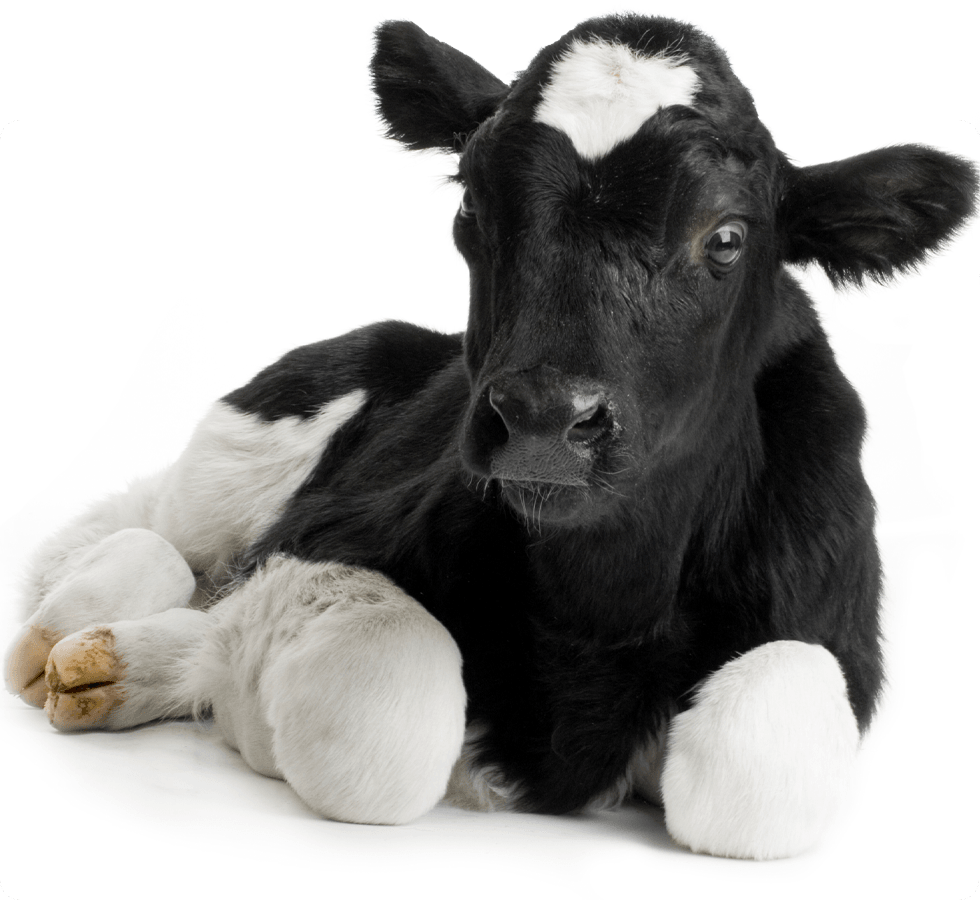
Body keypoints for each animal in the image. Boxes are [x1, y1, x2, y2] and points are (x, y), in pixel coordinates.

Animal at [3, 9, 976, 860]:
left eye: (728, 237)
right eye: (473, 203)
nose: (544, 419)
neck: (601, 601)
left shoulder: (833, 628)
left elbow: (754, 769)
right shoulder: (321, 537)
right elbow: (388, 715)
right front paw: (227, 691)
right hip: (251, 438)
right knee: (153, 536)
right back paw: (78, 637)